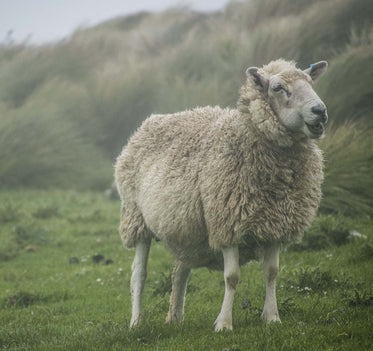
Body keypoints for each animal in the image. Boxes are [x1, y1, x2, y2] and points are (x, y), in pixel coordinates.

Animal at [115, 59, 326, 332]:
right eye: (278, 88)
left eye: (310, 82)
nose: (320, 111)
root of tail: (148, 123)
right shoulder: (228, 223)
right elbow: (232, 277)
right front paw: (224, 323)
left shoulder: (275, 225)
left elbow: (271, 272)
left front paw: (272, 317)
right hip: (136, 218)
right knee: (138, 274)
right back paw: (136, 322)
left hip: (187, 229)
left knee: (179, 270)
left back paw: (175, 318)